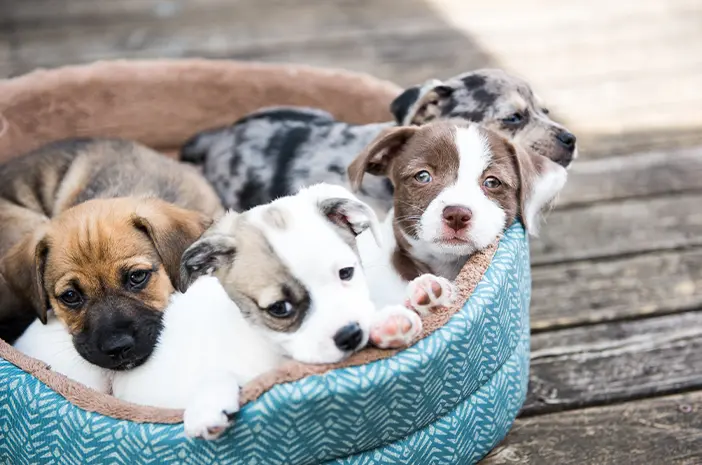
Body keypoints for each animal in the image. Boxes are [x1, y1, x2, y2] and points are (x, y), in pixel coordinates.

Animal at [111, 184, 424, 438]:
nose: (350, 335)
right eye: (279, 308)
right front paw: (207, 403)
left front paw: (388, 321)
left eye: (346, 272)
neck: (271, 350)